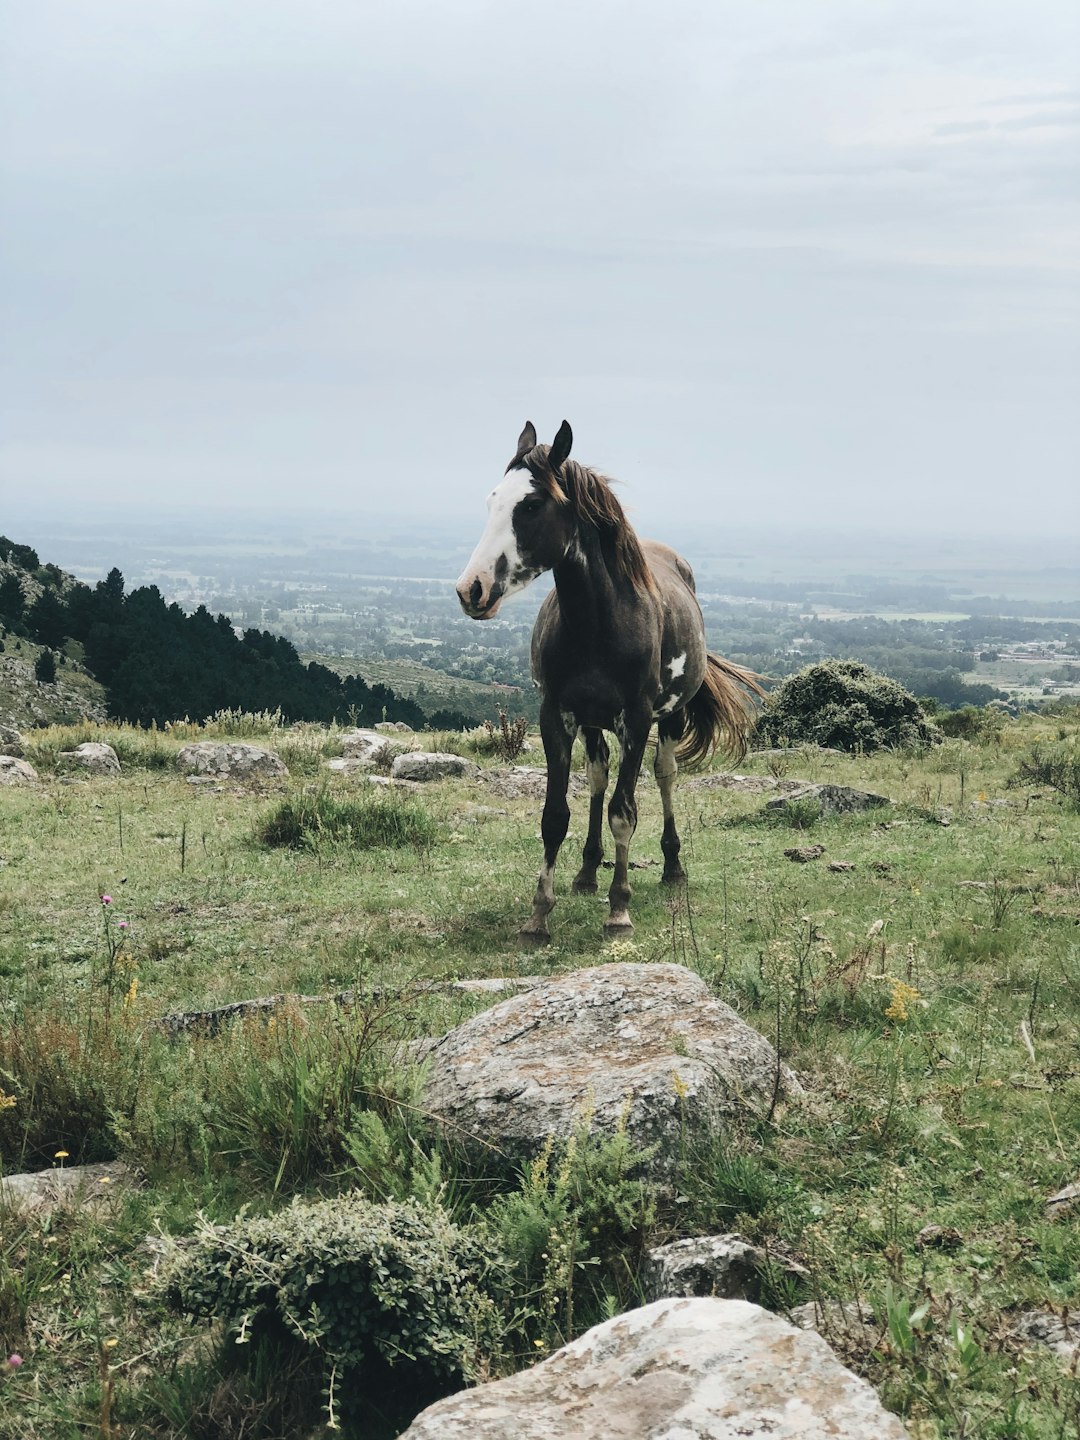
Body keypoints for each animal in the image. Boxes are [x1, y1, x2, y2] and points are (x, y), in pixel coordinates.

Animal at [457, 420, 760, 938]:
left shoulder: (635, 719)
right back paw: (586, 871)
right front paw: (539, 913)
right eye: (492, 499)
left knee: (663, 776)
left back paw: (672, 867)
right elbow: (556, 815)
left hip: (668, 718)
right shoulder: (556, 715)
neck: (599, 624)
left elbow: (625, 812)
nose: (471, 589)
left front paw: (619, 909)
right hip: (593, 722)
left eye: (531, 505)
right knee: (599, 776)